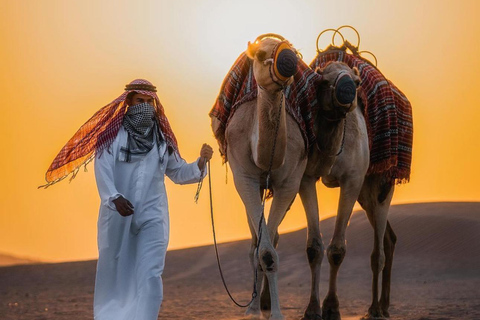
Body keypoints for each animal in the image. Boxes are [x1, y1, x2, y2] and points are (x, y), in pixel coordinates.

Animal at [300, 61, 398, 318]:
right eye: (323, 81)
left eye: (357, 82)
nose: (346, 89)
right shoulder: (306, 177)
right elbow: (313, 247)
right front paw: (312, 309)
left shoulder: (352, 180)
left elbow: (337, 249)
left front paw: (331, 307)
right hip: (366, 195)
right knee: (389, 239)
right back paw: (383, 305)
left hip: (381, 184)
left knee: (378, 250)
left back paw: (375, 309)